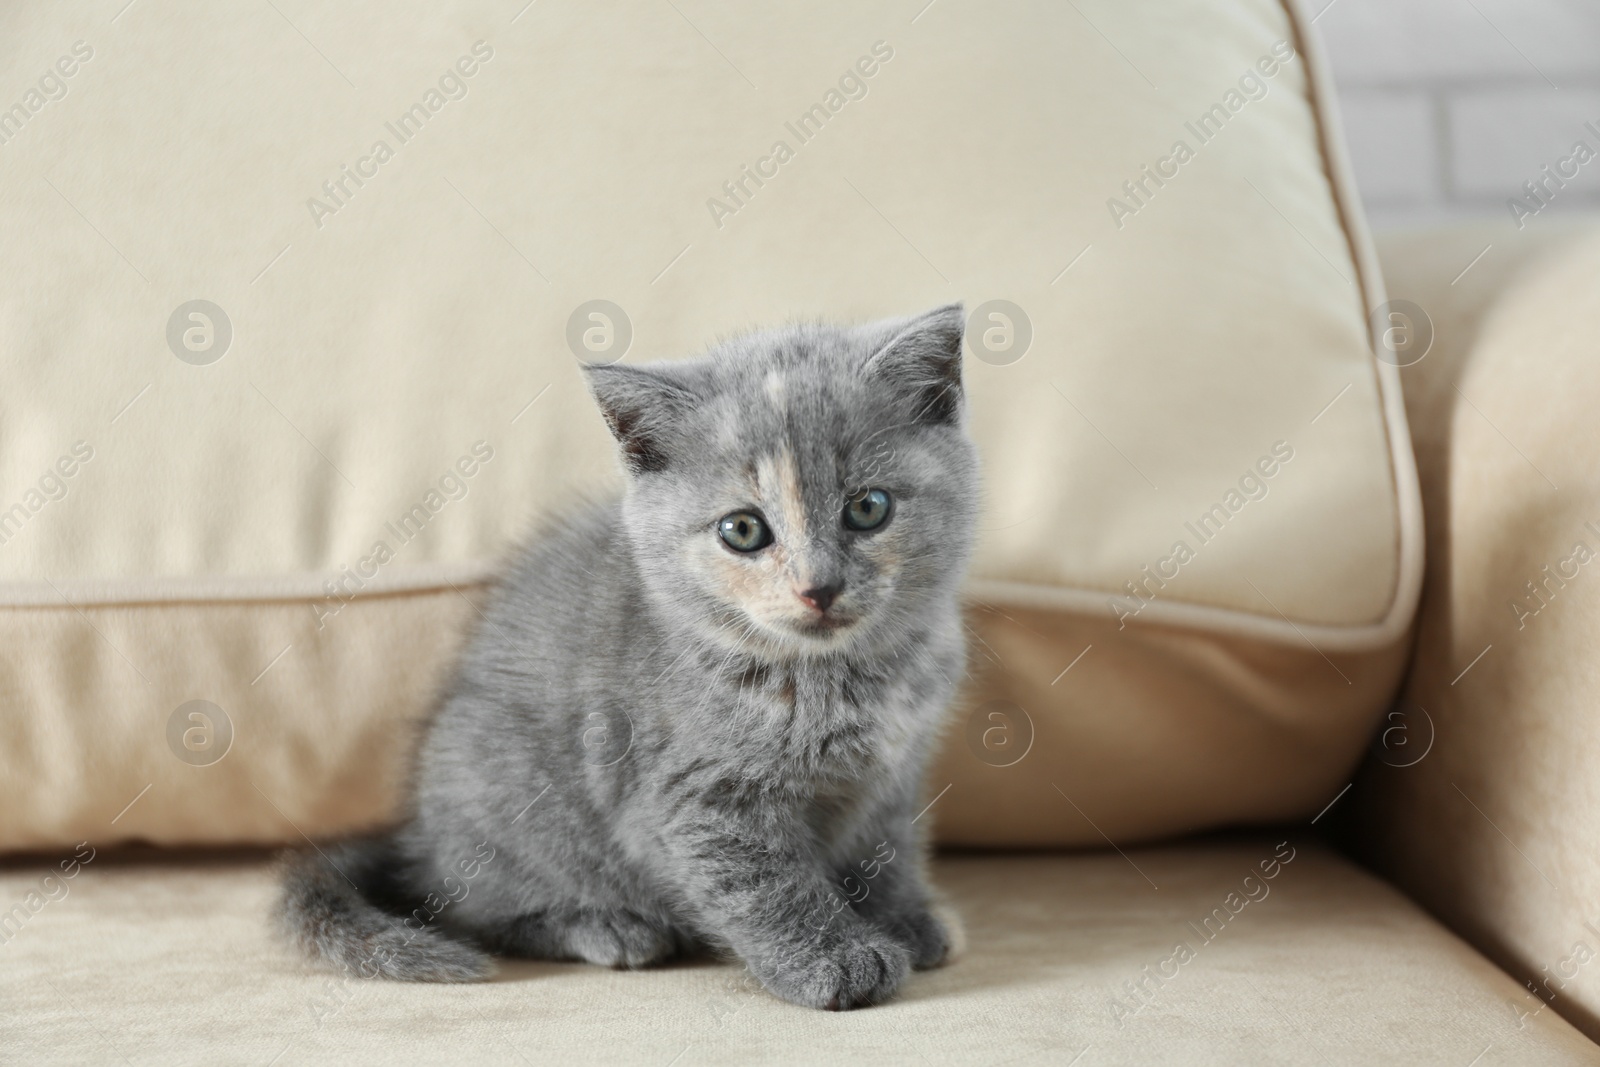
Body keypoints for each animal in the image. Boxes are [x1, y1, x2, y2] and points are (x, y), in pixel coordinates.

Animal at [280, 302, 979, 1011]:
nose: (819, 587)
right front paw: (834, 957)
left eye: (868, 507)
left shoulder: (896, 772)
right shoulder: (695, 798)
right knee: (477, 908)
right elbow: (765, 884)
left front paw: (904, 917)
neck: (846, 674)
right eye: (743, 530)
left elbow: (888, 848)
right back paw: (607, 926)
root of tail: (415, 838)